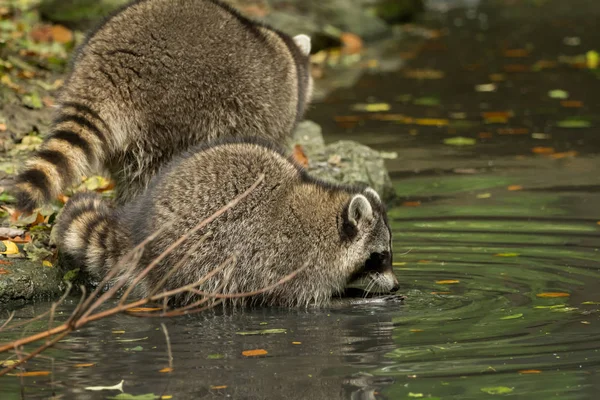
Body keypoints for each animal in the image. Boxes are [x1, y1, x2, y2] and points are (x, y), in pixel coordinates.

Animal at [55, 139, 398, 308]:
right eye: (379, 256)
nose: (396, 285)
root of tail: (140, 228)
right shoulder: (290, 263)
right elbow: (301, 302)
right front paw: (350, 300)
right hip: (190, 254)